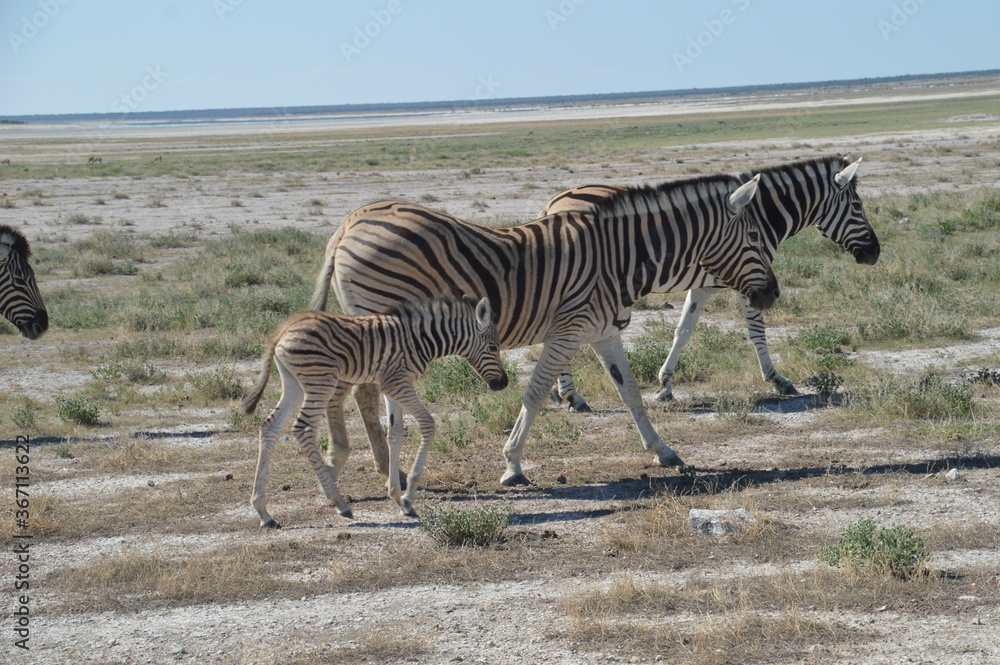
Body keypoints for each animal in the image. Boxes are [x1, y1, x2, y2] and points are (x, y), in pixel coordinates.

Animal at [240, 297, 507, 528]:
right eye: (493, 347)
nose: (503, 384)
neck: (421, 339)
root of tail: (284, 330)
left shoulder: (390, 385)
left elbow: (395, 433)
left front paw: (398, 498)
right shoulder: (398, 383)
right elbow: (428, 423)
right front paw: (408, 495)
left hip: (294, 384)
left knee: (269, 427)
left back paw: (264, 512)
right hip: (320, 380)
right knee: (302, 429)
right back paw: (340, 504)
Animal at [311, 173, 779, 487]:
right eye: (756, 236)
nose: (772, 295)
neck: (618, 257)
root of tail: (348, 223)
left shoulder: (603, 330)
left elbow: (629, 392)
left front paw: (663, 451)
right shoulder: (567, 331)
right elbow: (535, 394)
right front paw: (512, 465)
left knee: (362, 393)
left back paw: (383, 467)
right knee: (366, 393)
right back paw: (391, 470)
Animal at [539, 156, 879, 408]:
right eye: (858, 207)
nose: (875, 253)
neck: (761, 218)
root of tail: (553, 202)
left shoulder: (706, 285)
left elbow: (682, 332)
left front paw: (665, 385)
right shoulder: (749, 282)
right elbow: (757, 331)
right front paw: (777, 380)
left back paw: (562, 393)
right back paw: (572, 396)